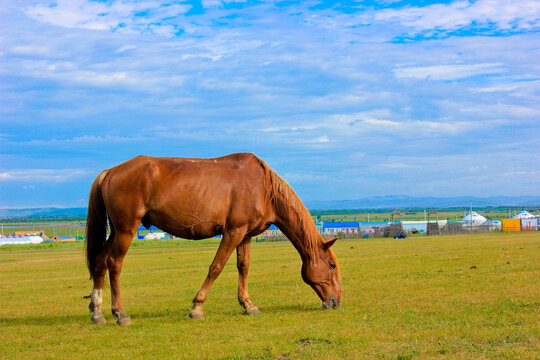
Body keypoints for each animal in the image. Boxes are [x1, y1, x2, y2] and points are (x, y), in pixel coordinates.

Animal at [85, 153, 342, 324]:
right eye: (331, 265)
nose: (336, 302)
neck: (263, 187)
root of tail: (110, 171)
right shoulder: (233, 231)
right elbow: (216, 267)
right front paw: (197, 307)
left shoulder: (245, 235)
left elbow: (243, 267)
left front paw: (248, 305)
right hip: (126, 229)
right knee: (114, 264)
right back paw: (120, 313)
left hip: (116, 231)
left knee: (99, 262)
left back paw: (97, 312)